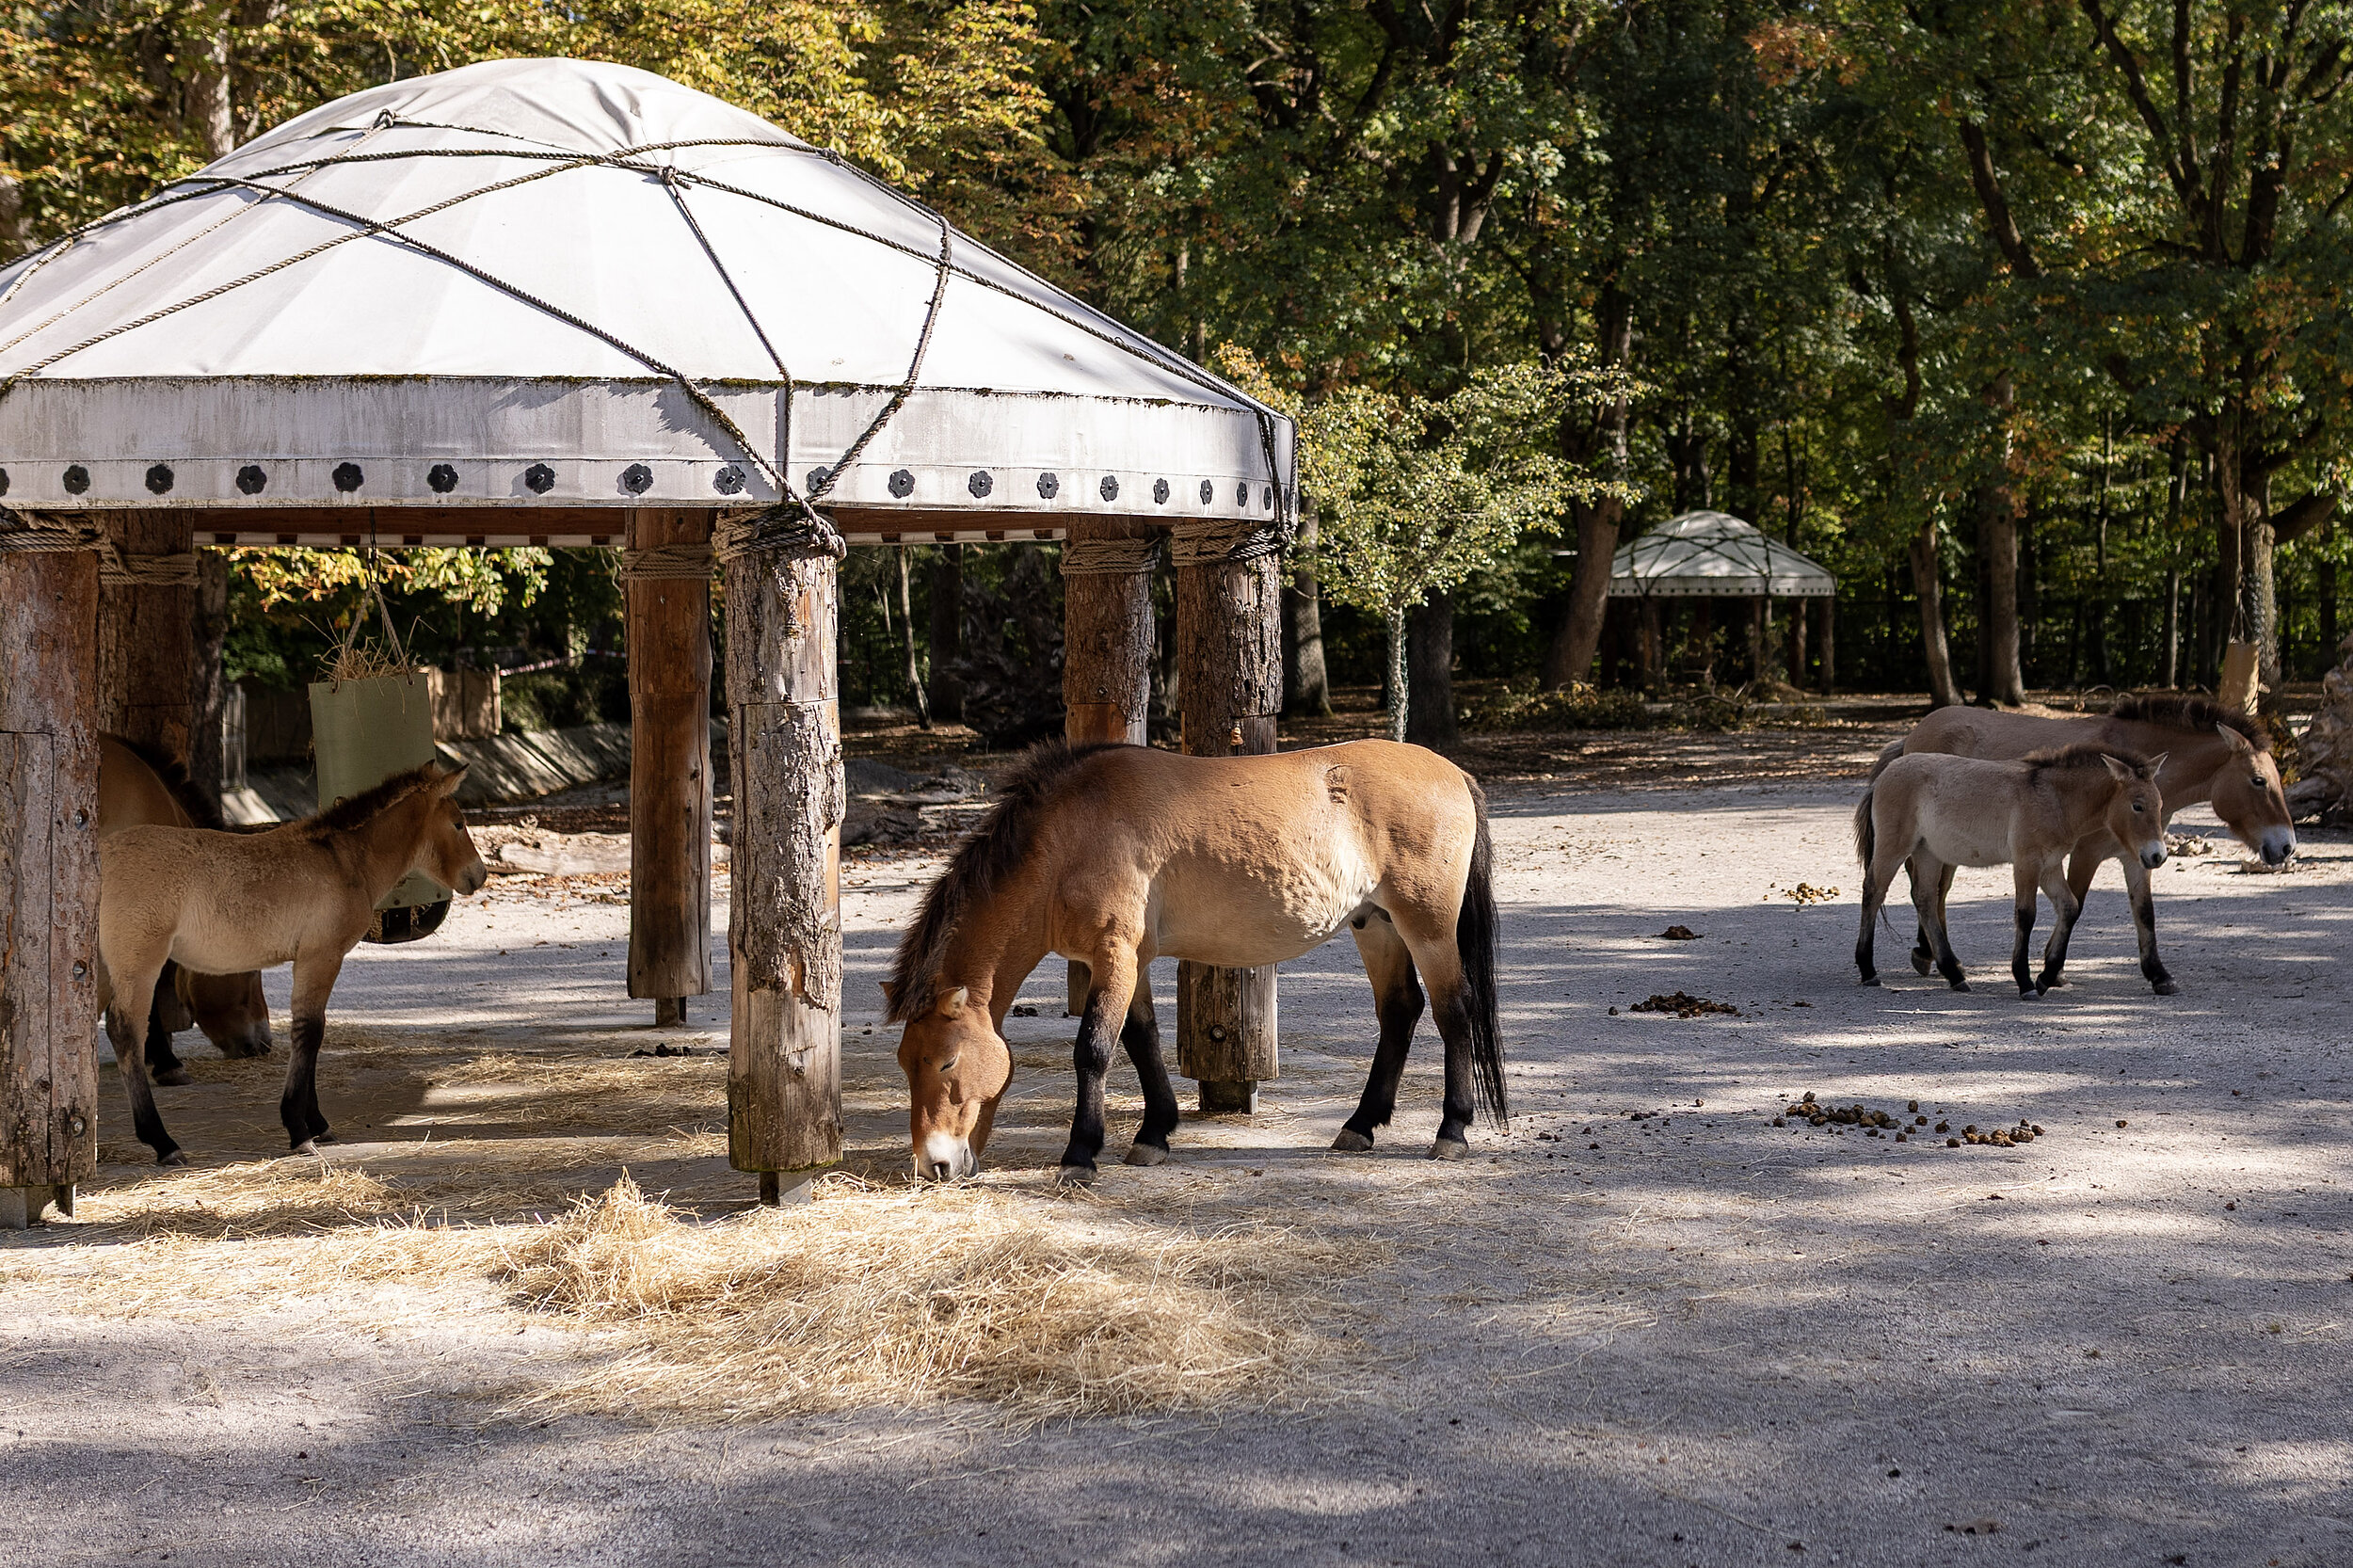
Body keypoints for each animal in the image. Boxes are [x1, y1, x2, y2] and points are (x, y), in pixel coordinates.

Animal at [882, 740, 1504, 1184]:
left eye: (946, 1061)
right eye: (906, 1063)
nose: (933, 1165)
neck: (1069, 838)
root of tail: (1453, 772)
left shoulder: (1114, 956)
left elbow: (1093, 1050)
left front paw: (1080, 1154)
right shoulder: (1129, 961)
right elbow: (1142, 1040)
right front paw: (1153, 1135)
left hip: (1427, 928)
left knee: (1454, 1012)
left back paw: (1451, 1131)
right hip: (1376, 925)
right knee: (1400, 1012)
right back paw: (1359, 1127)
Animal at [1855, 745, 2167, 998]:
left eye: (2160, 804)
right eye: (2137, 806)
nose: (2157, 856)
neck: (2054, 799)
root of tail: (1883, 776)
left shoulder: (2050, 866)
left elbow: (2069, 907)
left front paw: (2045, 977)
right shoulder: (2027, 863)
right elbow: (2026, 915)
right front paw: (2026, 982)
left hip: (1927, 852)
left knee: (1925, 900)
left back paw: (1954, 975)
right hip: (1895, 848)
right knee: (1874, 892)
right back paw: (1868, 970)